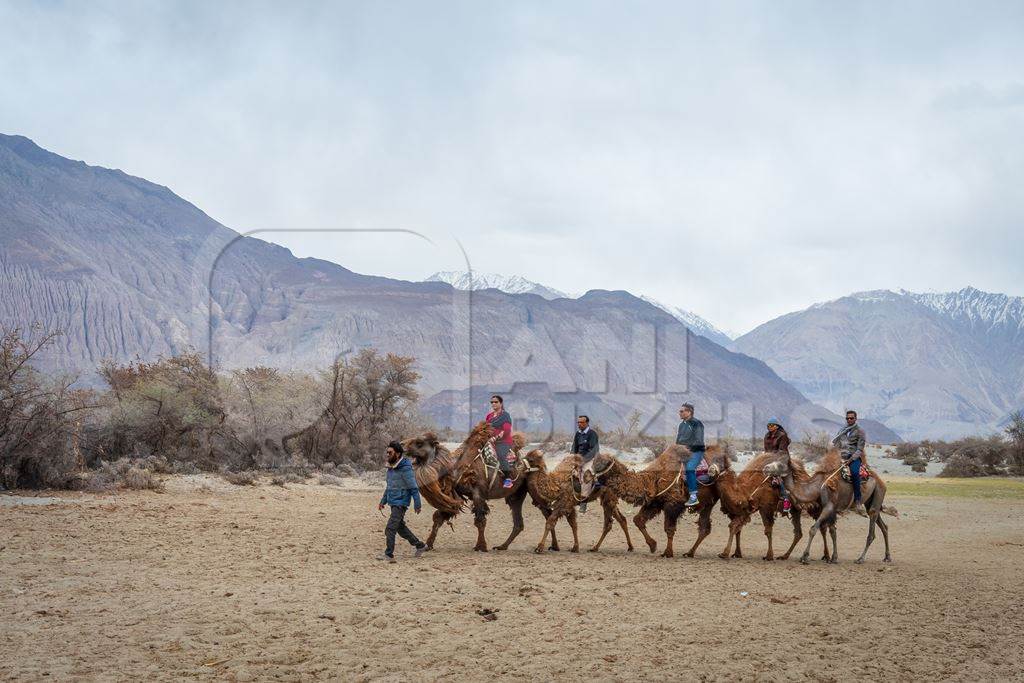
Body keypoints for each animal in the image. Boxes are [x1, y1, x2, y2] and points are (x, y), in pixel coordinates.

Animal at [401, 423, 561, 552]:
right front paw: (428, 545)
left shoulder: (478, 493)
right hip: (516, 495)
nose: (402, 445)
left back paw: (551, 546)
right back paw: (502, 546)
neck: (457, 468)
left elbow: (480, 521)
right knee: (519, 523)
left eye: (419, 442)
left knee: (548, 514)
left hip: (535, 490)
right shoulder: (454, 496)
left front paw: (481, 546)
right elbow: (438, 518)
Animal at [581, 444, 724, 561]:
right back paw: (690, 552)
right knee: (705, 527)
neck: (651, 479)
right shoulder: (654, 502)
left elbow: (669, 528)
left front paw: (667, 552)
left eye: (602, 464)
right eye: (594, 463)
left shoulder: (673, 503)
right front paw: (653, 545)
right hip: (708, 503)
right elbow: (638, 520)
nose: (588, 477)